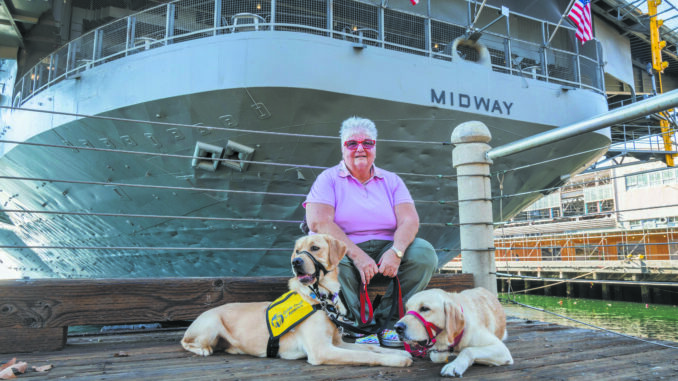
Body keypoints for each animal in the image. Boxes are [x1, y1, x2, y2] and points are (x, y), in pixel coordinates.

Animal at [181, 233, 412, 366]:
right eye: (297, 250)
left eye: (315, 248)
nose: (296, 262)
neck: (322, 299)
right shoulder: (321, 350)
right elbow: (366, 356)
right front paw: (394, 359)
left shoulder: (336, 342)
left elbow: (370, 348)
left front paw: (401, 353)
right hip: (210, 325)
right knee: (187, 342)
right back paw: (202, 349)